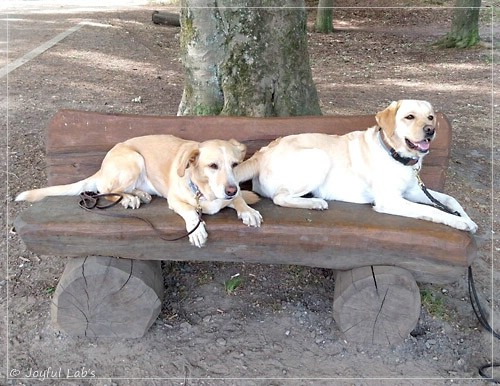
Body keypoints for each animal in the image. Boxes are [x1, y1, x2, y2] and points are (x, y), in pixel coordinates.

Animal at [16, 134, 262, 246]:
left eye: (235, 165)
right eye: (213, 166)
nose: (230, 190)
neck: (205, 192)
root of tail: (102, 167)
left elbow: (240, 200)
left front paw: (247, 210)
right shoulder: (175, 201)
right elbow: (191, 212)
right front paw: (197, 230)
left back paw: (140, 194)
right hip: (134, 159)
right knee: (107, 189)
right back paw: (129, 199)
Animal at [236, 99, 478, 232]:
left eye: (430, 117)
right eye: (409, 117)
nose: (430, 130)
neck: (395, 154)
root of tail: (262, 151)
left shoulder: (413, 190)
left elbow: (450, 200)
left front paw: (467, 219)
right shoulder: (389, 200)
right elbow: (430, 210)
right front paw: (459, 222)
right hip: (319, 157)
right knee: (280, 197)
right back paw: (315, 203)